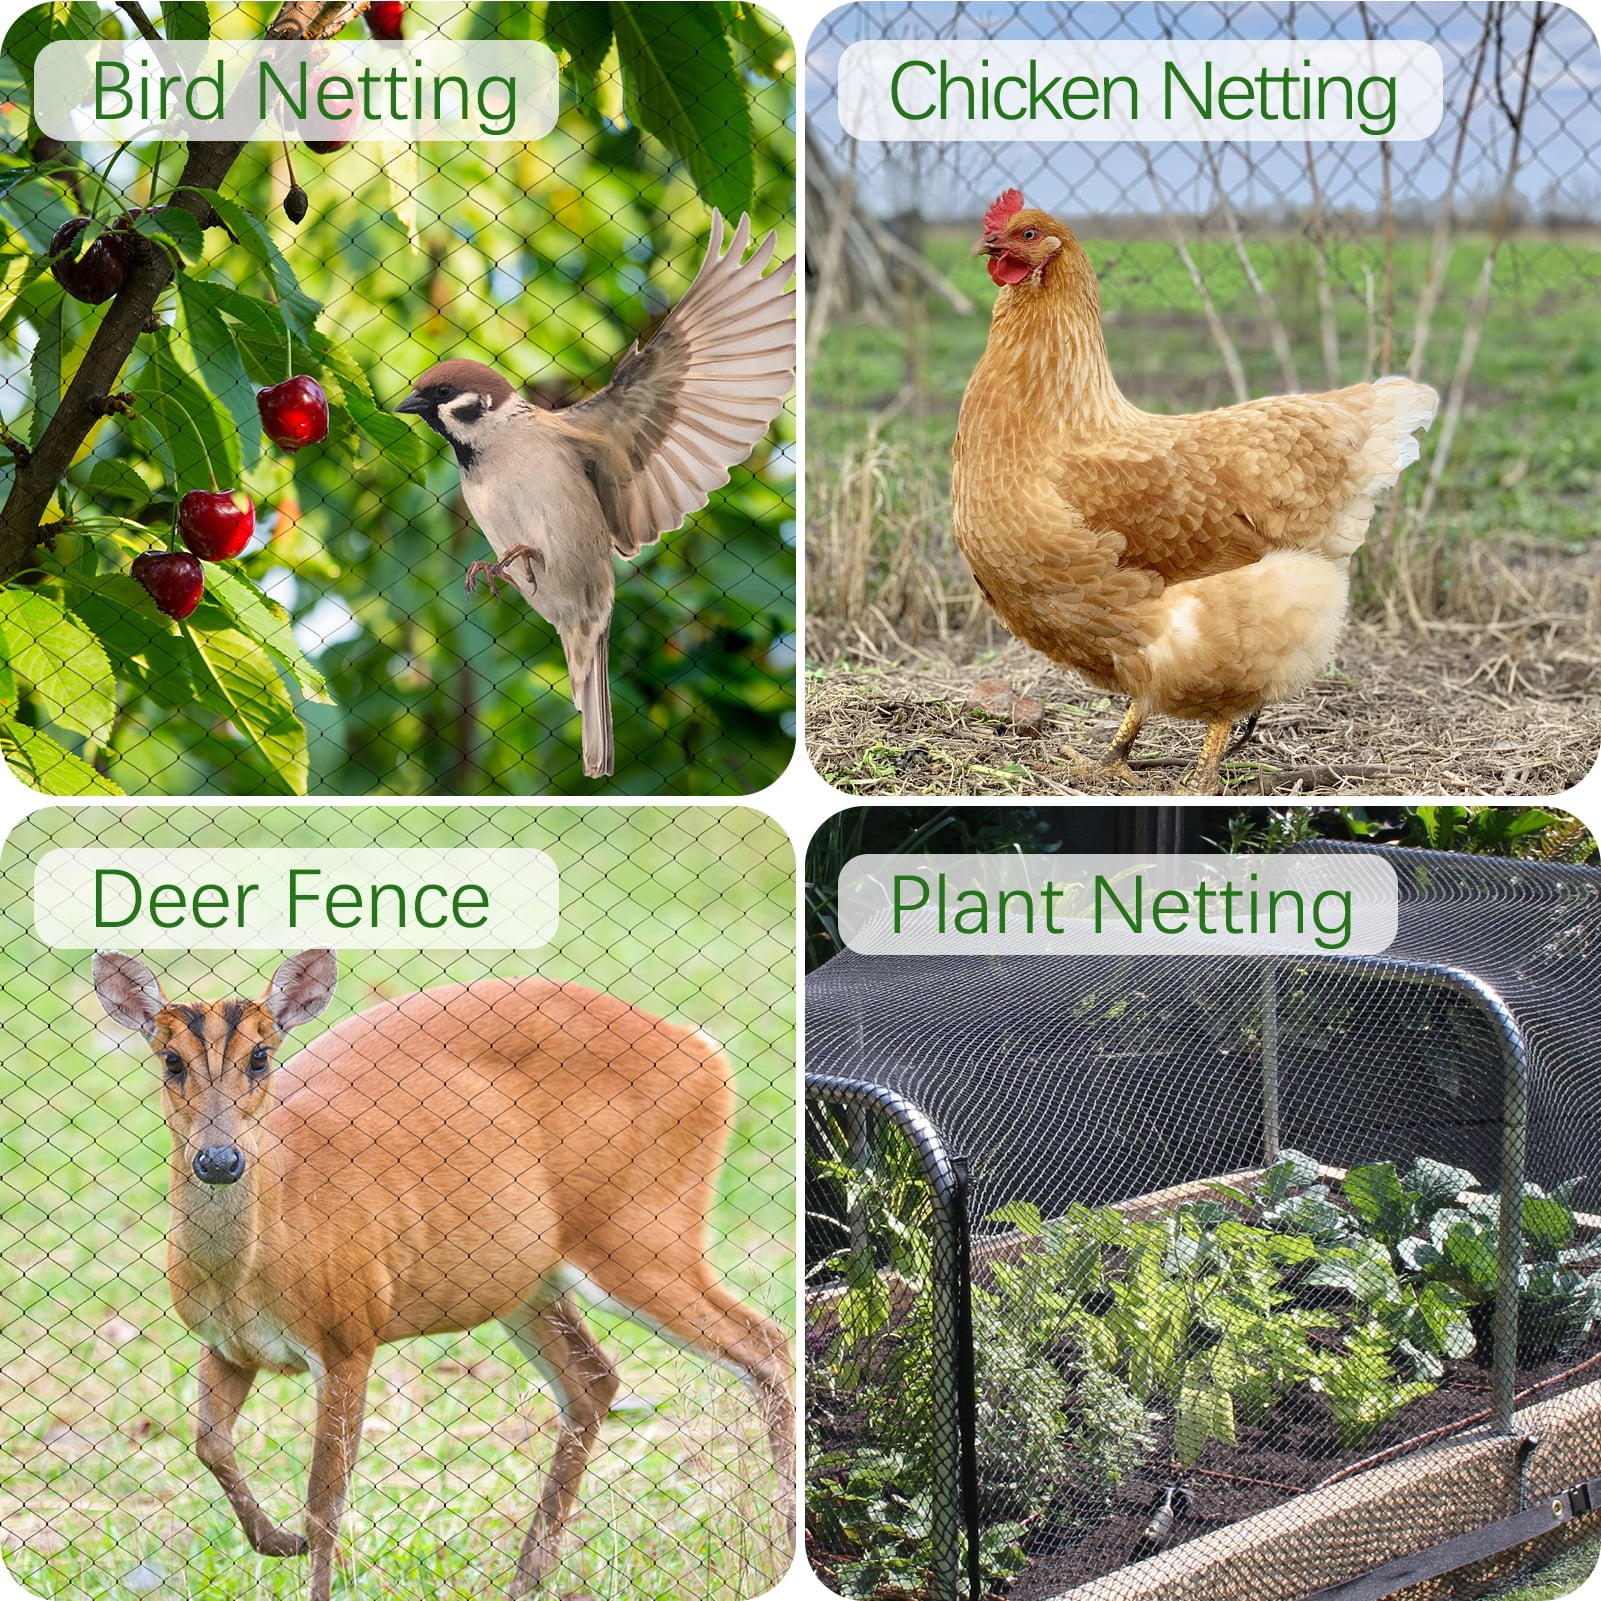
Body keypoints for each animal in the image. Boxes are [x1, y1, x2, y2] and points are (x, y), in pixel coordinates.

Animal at [92, 948, 794, 1601]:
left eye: (261, 1058)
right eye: (171, 1061)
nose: (219, 1159)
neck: (255, 1264)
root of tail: (705, 1051)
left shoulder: (350, 1333)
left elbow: (324, 1504)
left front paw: (301, 1547)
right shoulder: (225, 1344)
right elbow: (209, 1443)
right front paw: (277, 1540)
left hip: (643, 1231)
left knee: (764, 1341)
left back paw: (783, 1541)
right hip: (526, 1277)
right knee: (594, 1379)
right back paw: (525, 1582)